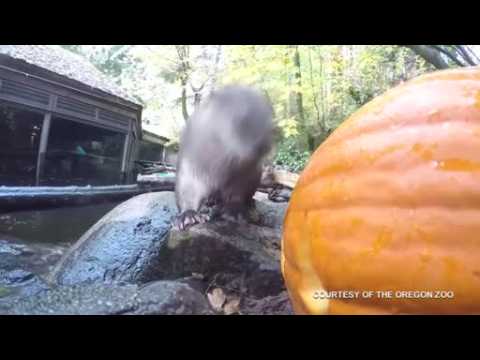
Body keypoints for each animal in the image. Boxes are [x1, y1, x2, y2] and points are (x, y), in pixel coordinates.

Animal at [174, 85, 276, 229]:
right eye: (242, 121)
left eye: (270, 121)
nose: (263, 144)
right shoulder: (190, 160)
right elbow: (187, 188)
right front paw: (188, 216)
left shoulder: (247, 173)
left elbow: (238, 192)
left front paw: (235, 211)